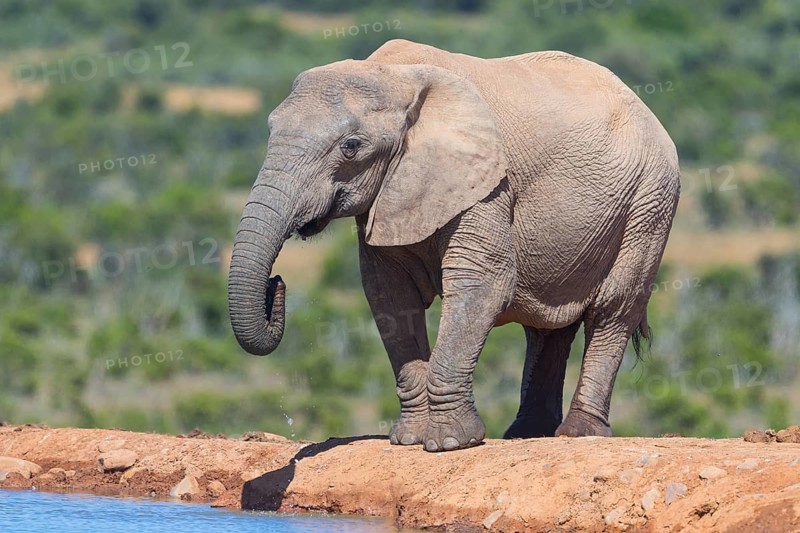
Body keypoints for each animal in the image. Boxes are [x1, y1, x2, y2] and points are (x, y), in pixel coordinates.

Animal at [228, 39, 680, 452]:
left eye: (351, 147)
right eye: (270, 131)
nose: (276, 284)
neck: (395, 76)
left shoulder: (488, 183)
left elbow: (481, 284)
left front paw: (450, 443)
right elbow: (389, 294)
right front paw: (408, 440)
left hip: (650, 202)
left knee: (613, 310)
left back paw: (578, 434)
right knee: (549, 326)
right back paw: (526, 434)